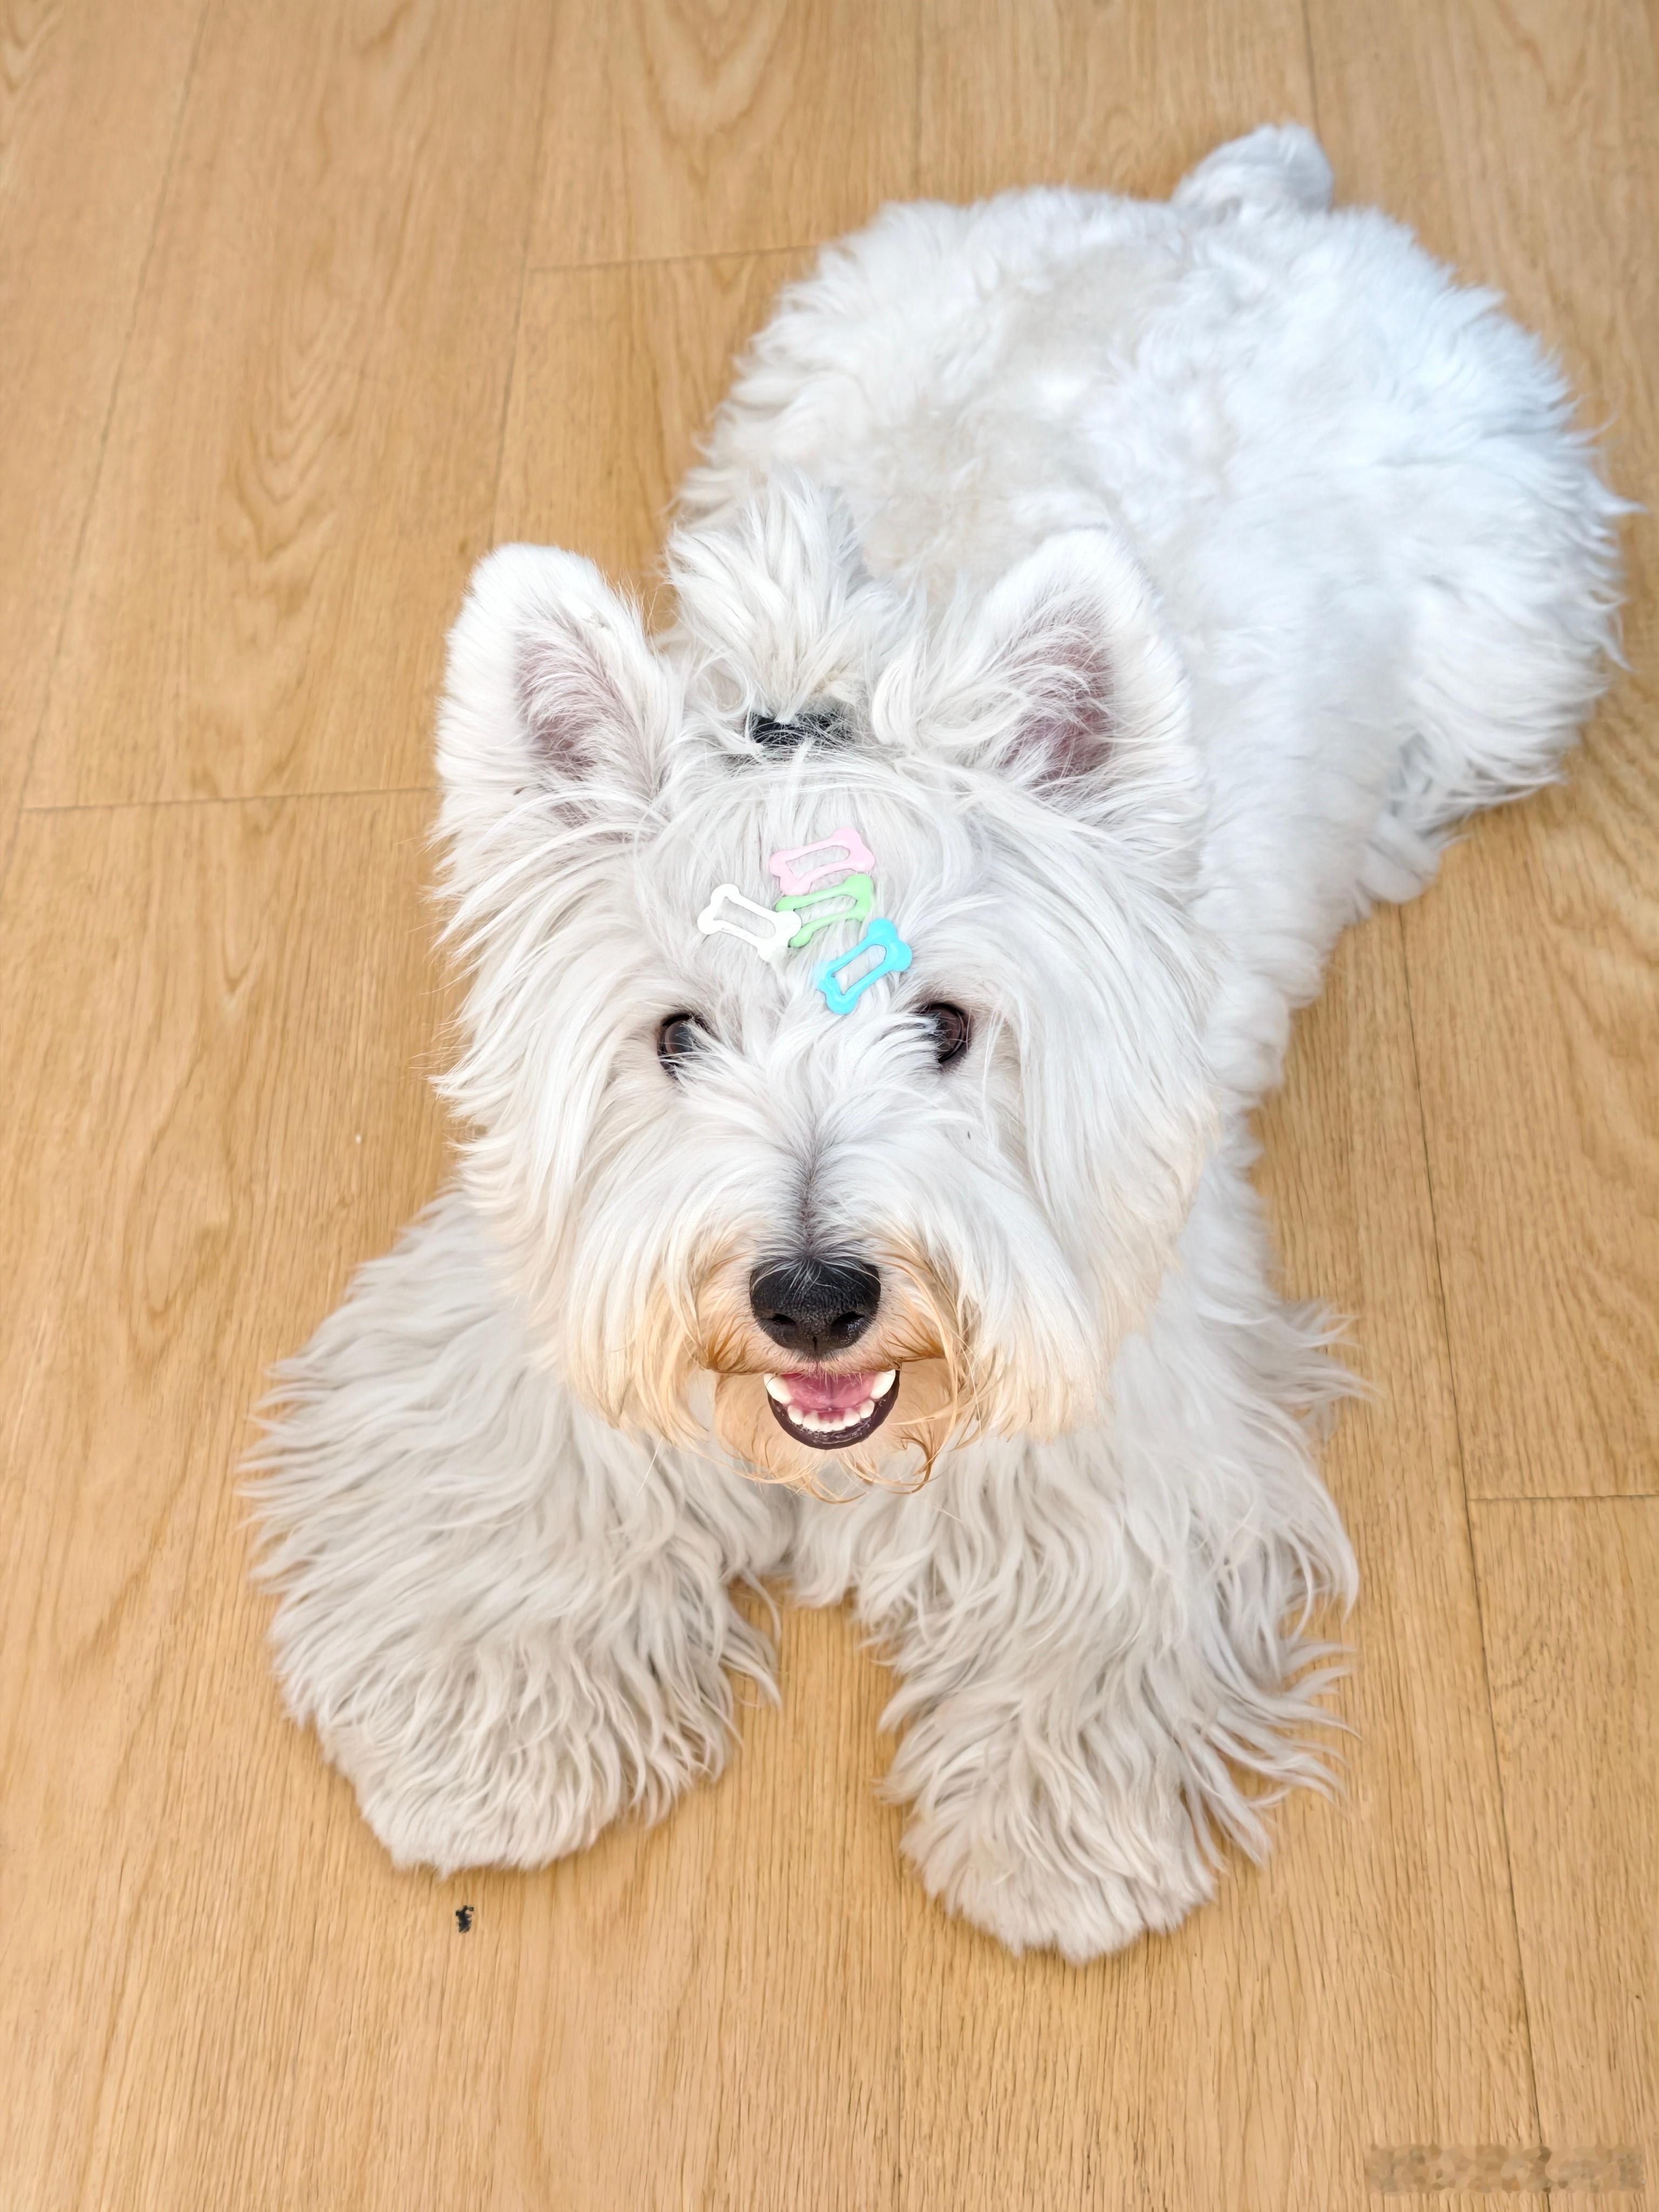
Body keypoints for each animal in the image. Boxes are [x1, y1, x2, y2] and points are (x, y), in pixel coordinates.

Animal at [254, 126, 1621, 1961]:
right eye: (674, 1033)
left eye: (948, 1023)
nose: (811, 1294)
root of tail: (1227, 219)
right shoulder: (538, 1285)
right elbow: (510, 1493)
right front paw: (488, 1744)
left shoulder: (1131, 1352)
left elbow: (1098, 1590)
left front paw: (1055, 1836)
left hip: (1513, 641)